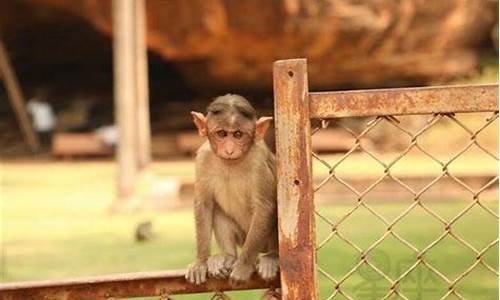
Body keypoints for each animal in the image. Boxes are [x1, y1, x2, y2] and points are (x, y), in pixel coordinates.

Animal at [186, 94, 280, 286]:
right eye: (221, 133)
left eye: (238, 134)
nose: (229, 150)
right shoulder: (203, 158)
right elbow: (204, 204)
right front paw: (200, 262)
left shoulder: (258, 161)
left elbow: (265, 207)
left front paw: (243, 267)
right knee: (217, 209)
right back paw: (227, 256)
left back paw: (271, 257)